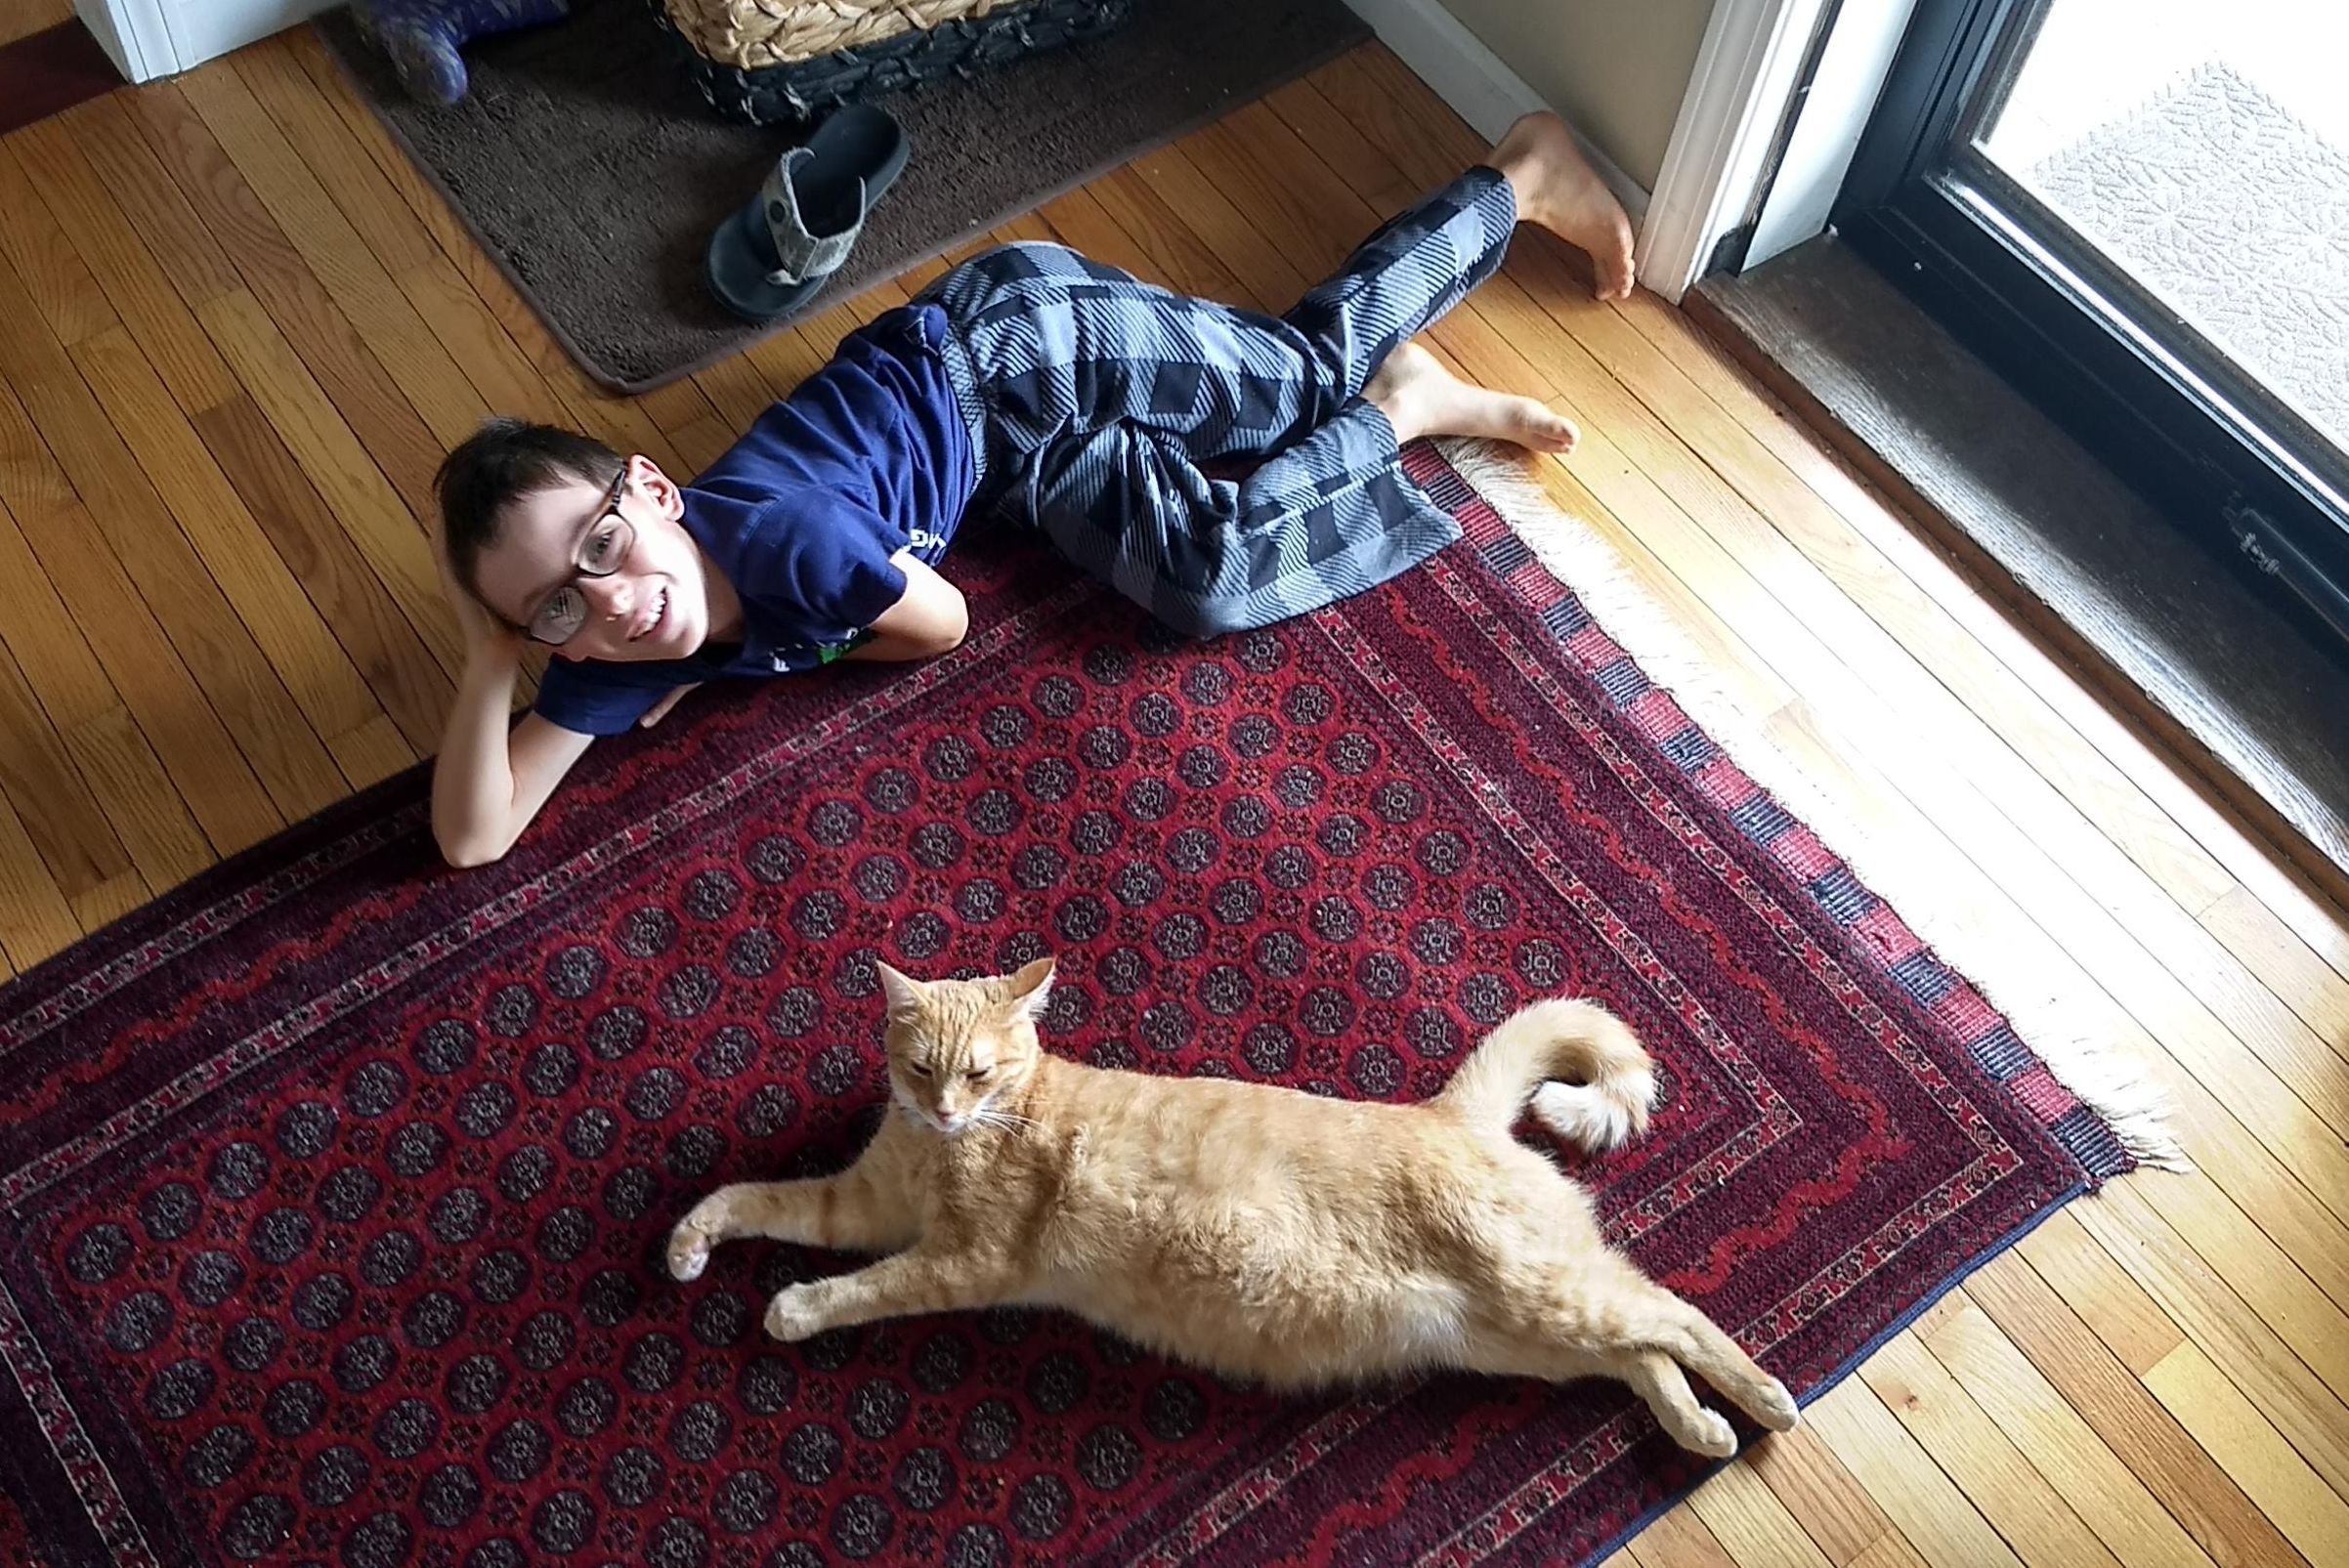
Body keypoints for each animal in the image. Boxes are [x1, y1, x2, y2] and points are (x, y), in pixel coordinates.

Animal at [667, 957, 1799, 1457]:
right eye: (921, 1068)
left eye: (980, 1072)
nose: (946, 1109)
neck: (940, 1151)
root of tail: (1449, 1112)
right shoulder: (854, 1204)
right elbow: (753, 1197)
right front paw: (688, 1244)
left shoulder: (962, 1261)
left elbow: (864, 1289)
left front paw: (794, 1309)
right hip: (1520, 1336)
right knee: (1641, 1350)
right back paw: (1699, 1427)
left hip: (1542, 1298)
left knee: (1677, 1314)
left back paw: (1764, 1400)